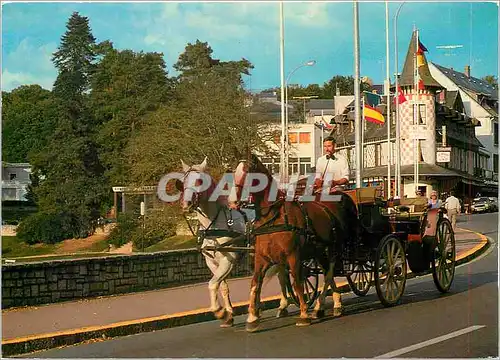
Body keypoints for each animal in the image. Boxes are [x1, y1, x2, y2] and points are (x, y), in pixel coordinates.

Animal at [178, 158, 292, 326]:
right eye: (184, 181)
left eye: (199, 181)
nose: (186, 204)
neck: (216, 223)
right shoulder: (212, 262)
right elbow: (222, 286)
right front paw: (229, 314)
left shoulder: (228, 261)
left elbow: (212, 284)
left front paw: (220, 312)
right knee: (275, 276)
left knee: (282, 276)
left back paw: (283, 305)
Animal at [230, 152, 356, 332]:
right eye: (234, 172)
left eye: (247, 172)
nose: (232, 202)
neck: (273, 216)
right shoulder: (261, 258)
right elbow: (255, 283)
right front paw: (252, 317)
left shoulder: (293, 256)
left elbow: (297, 283)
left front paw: (303, 314)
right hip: (319, 250)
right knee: (327, 272)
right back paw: (334, 304)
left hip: (334, 247)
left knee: (329, 273)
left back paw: (320, 306)